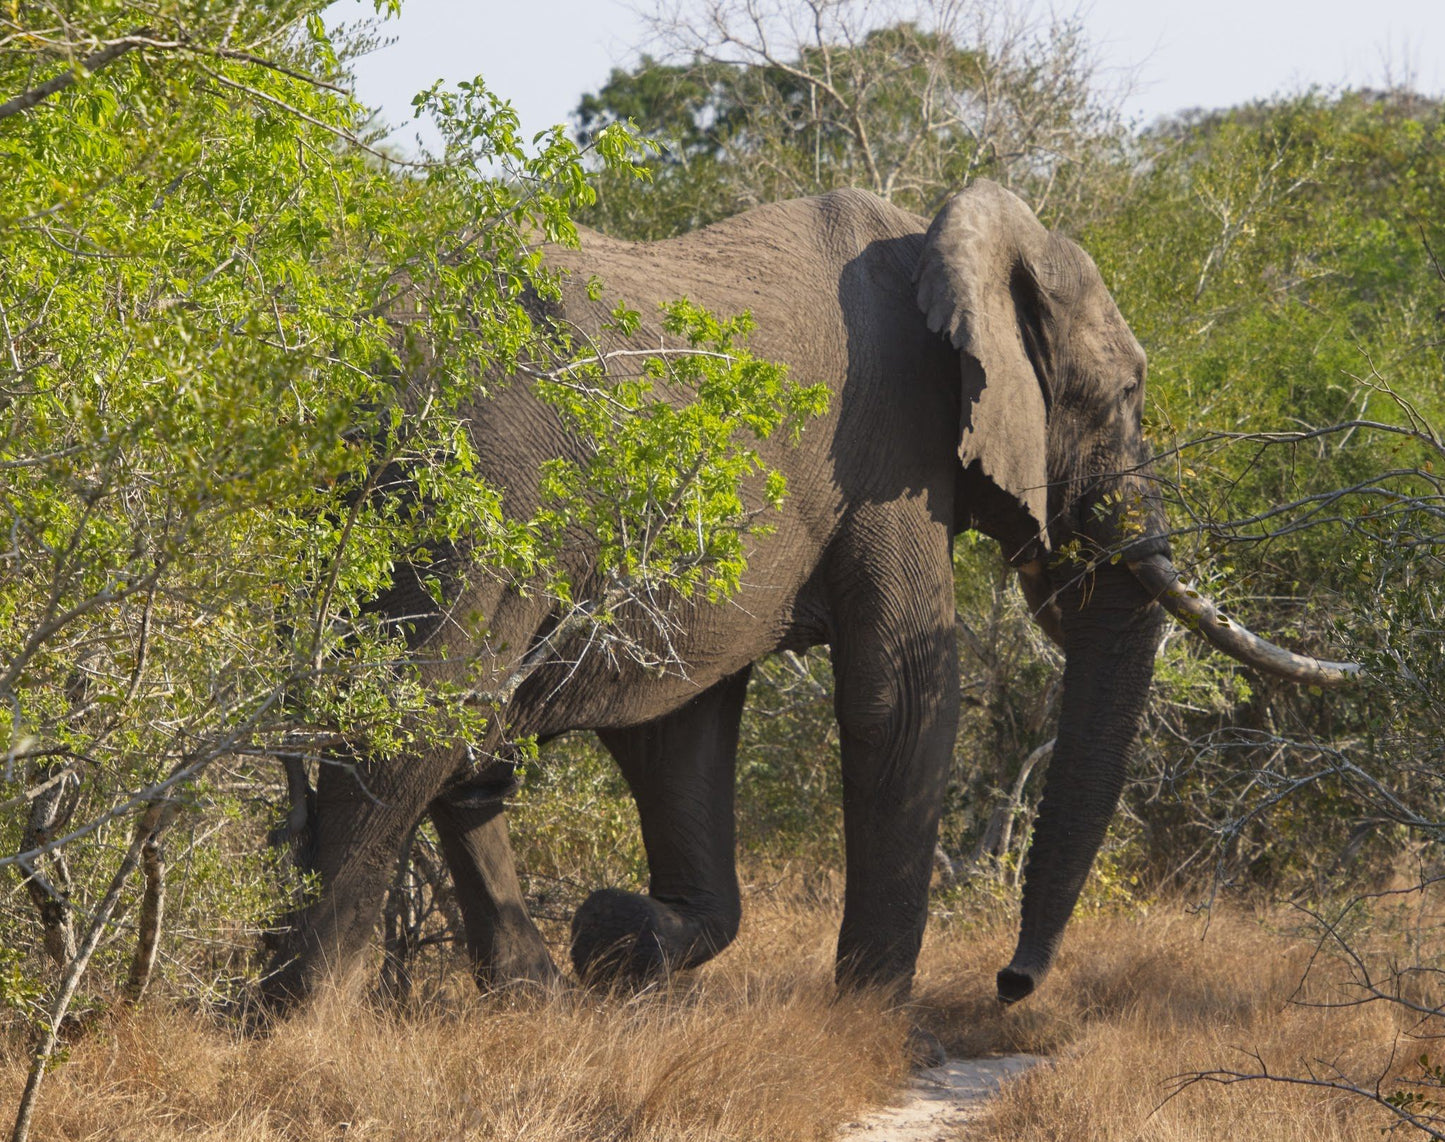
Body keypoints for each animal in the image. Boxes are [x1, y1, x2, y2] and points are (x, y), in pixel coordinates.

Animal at [262, 183, 1352, 1017]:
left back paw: (529, 995)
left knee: (464, 744)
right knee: (413, 719)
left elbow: (682, 725)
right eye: (1124, 394)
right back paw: (298, 1022)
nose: (1010, 983)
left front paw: (621, 937)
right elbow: (901, 694)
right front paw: (868, 1016)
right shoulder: (891, 448)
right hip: (469, 490)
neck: (946, 241)